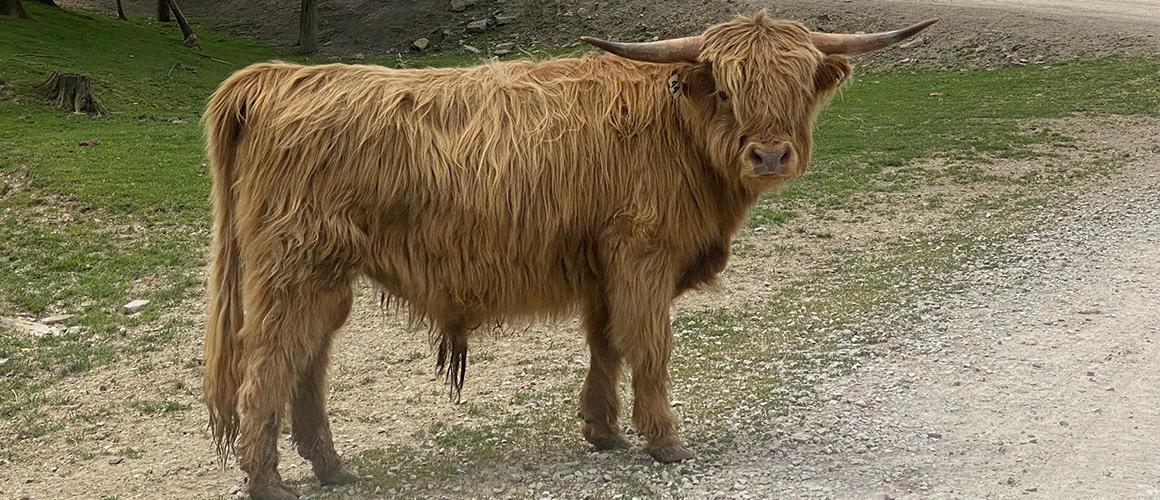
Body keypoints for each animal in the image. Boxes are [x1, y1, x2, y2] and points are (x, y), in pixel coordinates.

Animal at [202, 11, 935, 499]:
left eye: (800, 84)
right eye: (727, 89)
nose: (771, 155)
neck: (677, 131)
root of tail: (281, 78)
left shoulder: (605, 263)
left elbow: (607, 341)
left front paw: (602, 430)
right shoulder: (643, 254)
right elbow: (650, 344)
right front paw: (665, 440)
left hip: (325, 278)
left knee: (308, 360)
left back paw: (330, 466)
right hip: (297, 270)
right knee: (269, 363)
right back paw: (267, 479)